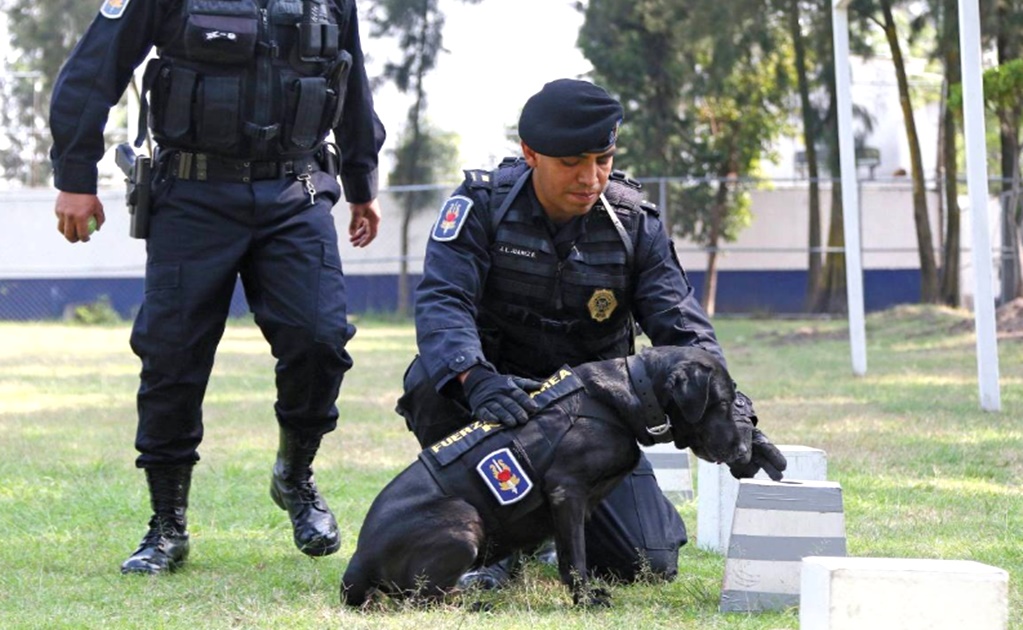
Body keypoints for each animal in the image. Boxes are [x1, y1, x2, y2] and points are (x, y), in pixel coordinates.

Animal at [339, 347, 777, 609]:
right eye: (723, 400)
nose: (744, 449)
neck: (629, 396)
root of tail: (358, 560)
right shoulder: (568, 491)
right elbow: (576, 558)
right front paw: (586, 600)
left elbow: (571, 552)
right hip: (464, 520)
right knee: (420, 598)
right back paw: (474, 600)